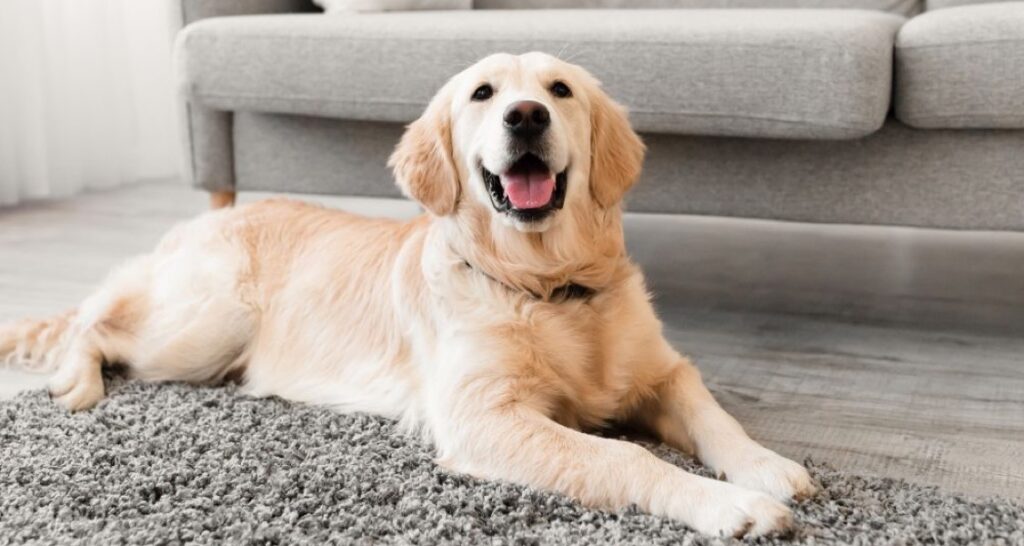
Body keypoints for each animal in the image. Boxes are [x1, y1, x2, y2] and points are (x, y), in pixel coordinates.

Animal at [2, 53, 815, 536]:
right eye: (484, 93)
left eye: (559, 90)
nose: (526, 116)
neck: (546, 284)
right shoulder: (483, 416)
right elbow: (622, 459)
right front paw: (730, 504)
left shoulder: (661, 372)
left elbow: (713, 417)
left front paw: (766, 466)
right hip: (205, 325)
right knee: (95, 324)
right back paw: (74, 384)